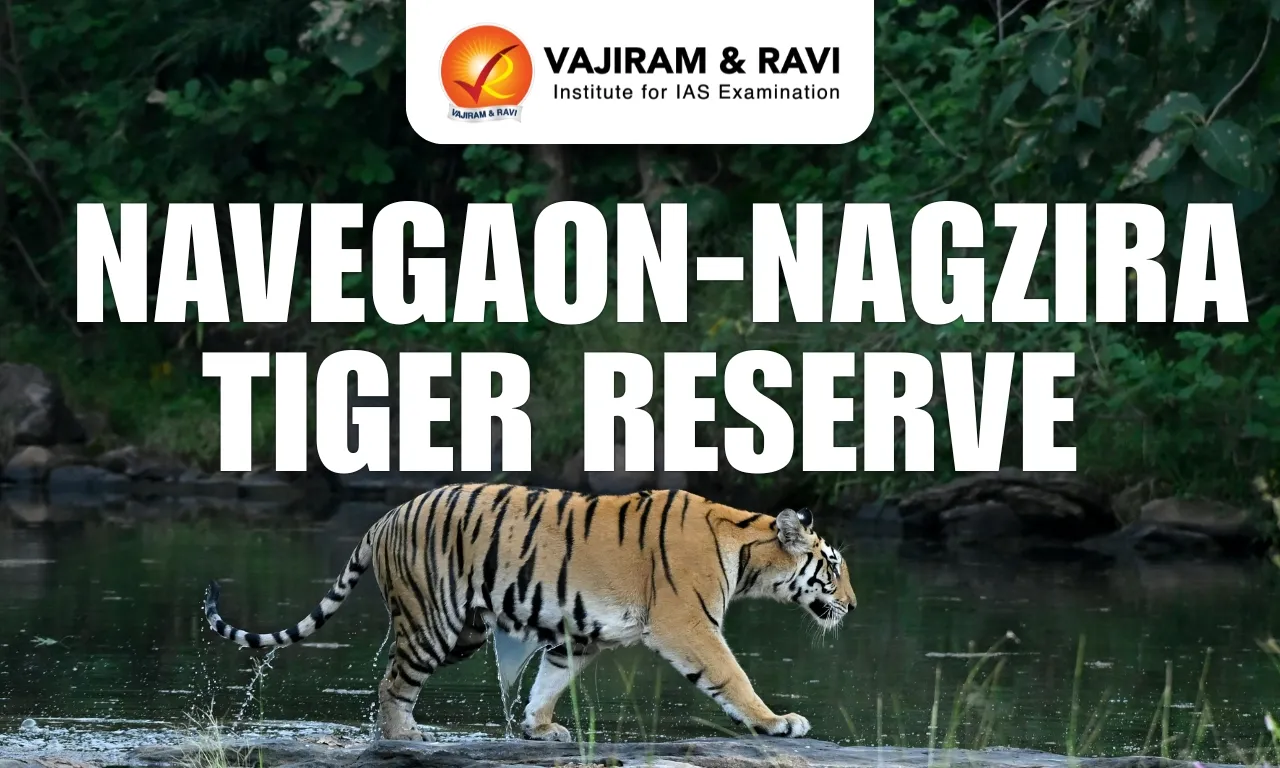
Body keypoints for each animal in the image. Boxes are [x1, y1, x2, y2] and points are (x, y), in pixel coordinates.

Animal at [203, 483, 857, 742]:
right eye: (833, 567)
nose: (852, 606)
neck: (746, 552)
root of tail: (384, 517)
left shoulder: (580, 633)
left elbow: (550, 679)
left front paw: (539, 727)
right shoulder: (688, 624)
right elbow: (732, 676)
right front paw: (777, 722)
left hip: (465, 629)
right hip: (433, 623)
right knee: (392, 683)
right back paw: (404, 735)